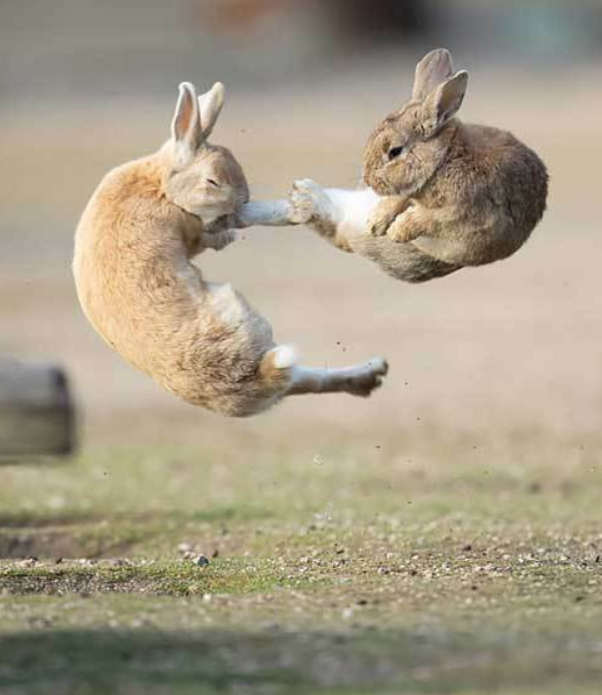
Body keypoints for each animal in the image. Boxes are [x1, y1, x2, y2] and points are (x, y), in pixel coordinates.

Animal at [73, 81, 388, 418]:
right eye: (212, 181)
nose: (241, 202)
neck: (160, 185)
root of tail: (258, 376)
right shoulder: (192, 229)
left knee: (306, 380)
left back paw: (372, 372)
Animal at [285, 48, 548, 282]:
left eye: (394, 151)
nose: (369, 180)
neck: (443, 160)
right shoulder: (408, 192)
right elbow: (398, 201)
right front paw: (376, 223)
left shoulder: (458, 213)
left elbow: (426, 219)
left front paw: (395, 231)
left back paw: (304, 199)